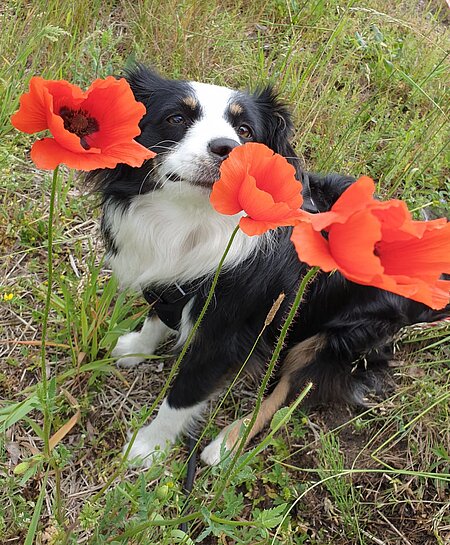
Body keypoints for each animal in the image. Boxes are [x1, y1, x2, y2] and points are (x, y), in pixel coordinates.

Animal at [86, 63, 448, 464]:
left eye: (245, 131)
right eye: (176, 118)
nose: (227, 148)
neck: (193, 220)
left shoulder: (225, 334)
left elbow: (183, 395)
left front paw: (148, 448)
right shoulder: (170, 285)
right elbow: (157, 317)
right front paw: (136, 346)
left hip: (333, 339)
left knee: (286, 394)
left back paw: (227, 443)